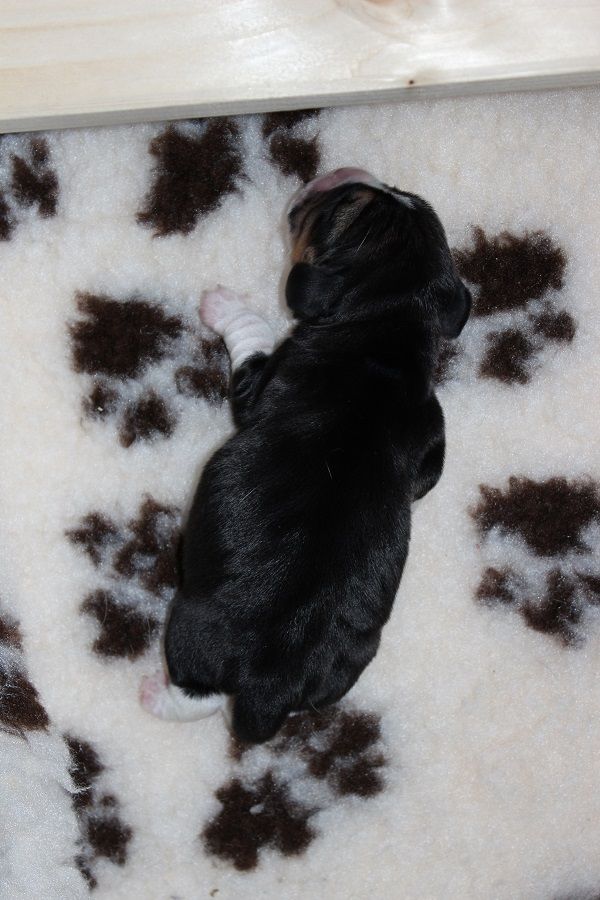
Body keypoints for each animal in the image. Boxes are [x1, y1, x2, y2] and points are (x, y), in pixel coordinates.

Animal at [140, 167, 471, 743]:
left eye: (341, 203)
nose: (352, 171)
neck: (390, 324)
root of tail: (265, 690)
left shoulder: (263, 380)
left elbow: (251, 340)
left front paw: (223, 305)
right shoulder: (432, 437)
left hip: (189, 628)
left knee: (196, 694)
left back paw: (154, 694)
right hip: (344, 666)